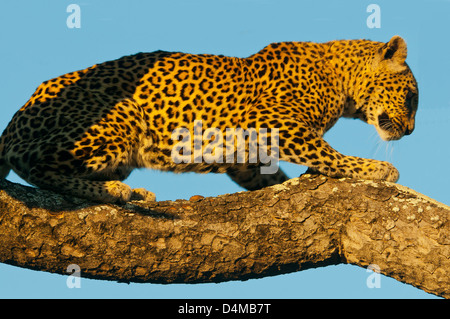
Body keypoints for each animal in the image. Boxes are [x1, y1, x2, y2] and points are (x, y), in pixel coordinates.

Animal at [0, 35, 418, 205]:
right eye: (412, 98)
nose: (412, 131)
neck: (342, 80)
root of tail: (12, 124)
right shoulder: (272, 122)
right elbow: (329, 153)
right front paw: (376, 168)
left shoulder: (246, 156)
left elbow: (267, 177)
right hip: (122, 114)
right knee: (37, 167)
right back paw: (118, 192)